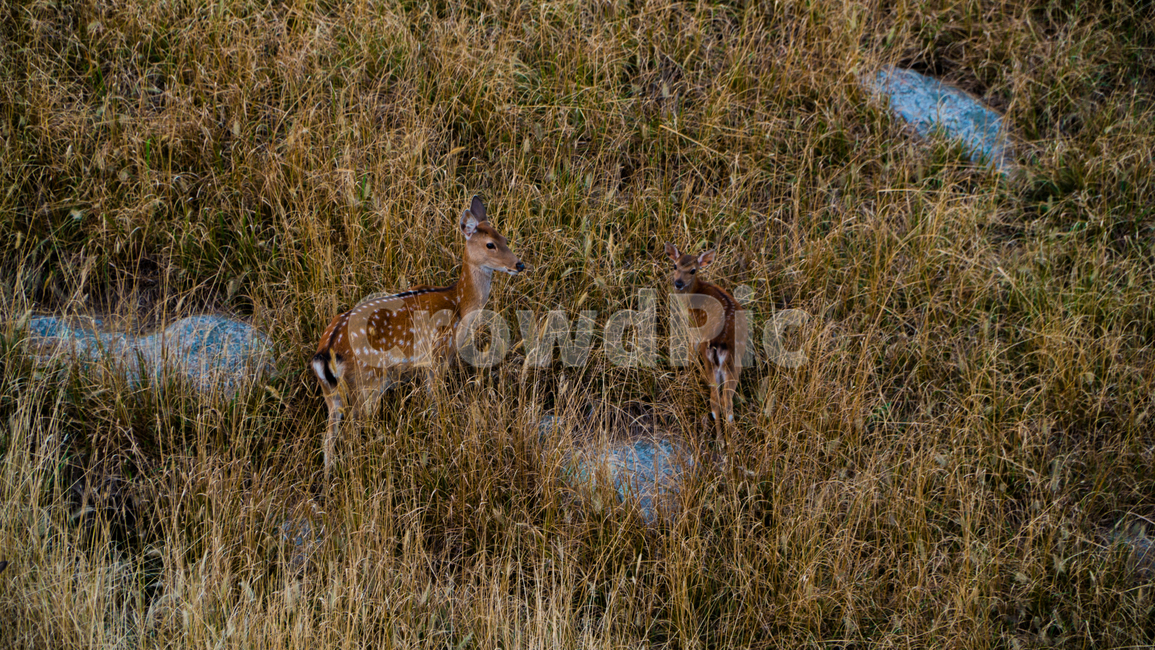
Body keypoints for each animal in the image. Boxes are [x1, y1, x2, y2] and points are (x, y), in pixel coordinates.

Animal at [312, 196, 525, 476]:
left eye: (505, 238)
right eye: (490, 244)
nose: (519, 264)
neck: (459, 304)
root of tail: (326, 351)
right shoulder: (438, 355)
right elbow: (435, 403)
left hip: (332, 393)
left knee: (328, 438)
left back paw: (329, 480)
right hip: (365, 382)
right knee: (349, 432)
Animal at [665, 242, 741, 437]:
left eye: (693, 270)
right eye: (674, 266)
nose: (678, 283)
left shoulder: (693, 326)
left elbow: (690, 352)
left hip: (709, 359)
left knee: (715, 401)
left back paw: (720, 440)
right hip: (734, 365)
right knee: (727, 402)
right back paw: (731, 441)